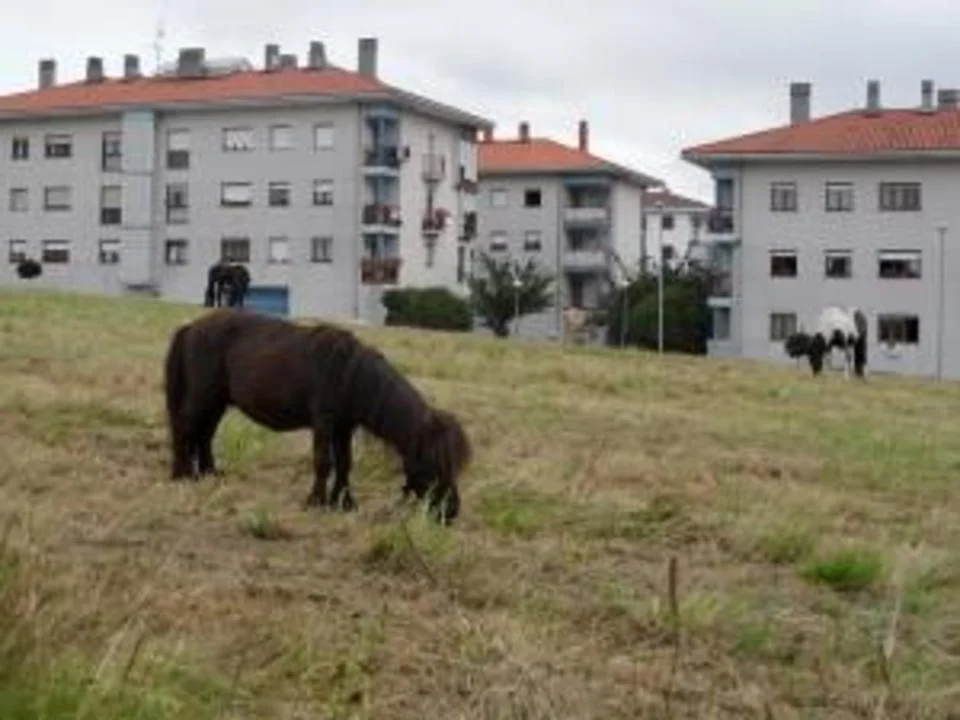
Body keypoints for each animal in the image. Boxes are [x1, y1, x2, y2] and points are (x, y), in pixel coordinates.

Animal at [163, 309, 471, 524]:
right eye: (434, 462)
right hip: (202, 397)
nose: (452, 511)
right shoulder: (324, 423)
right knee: (185, 429)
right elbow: (324, 462)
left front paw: (344, 503)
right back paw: (182, 475)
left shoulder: (344, 427)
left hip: (218, 402)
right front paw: (316, 501)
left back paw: (208, 474)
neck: (350, 375)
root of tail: (191, 327)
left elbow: (345, 463)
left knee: (204, 434)